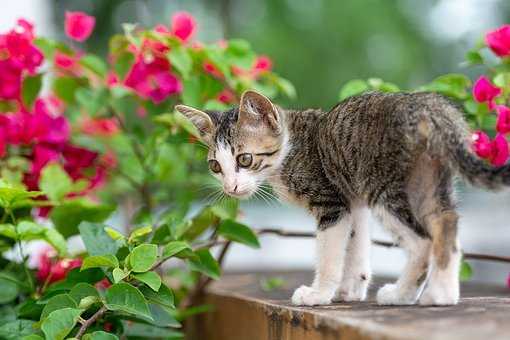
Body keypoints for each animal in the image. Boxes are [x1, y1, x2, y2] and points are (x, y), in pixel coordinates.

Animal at [176, 89, 510, 306]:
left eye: (245, 159)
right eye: (215, 166)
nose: (230, 187)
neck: (291, 148)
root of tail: (428, 104)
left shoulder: (331, 203)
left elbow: (330, 254)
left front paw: (319, 294)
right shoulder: (352, 198)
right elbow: (356, 244)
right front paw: (350, 289)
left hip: (384, 186)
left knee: (423, 241)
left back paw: (402, 295)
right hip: (427, 181)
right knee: (446, 222)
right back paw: (442, 294)